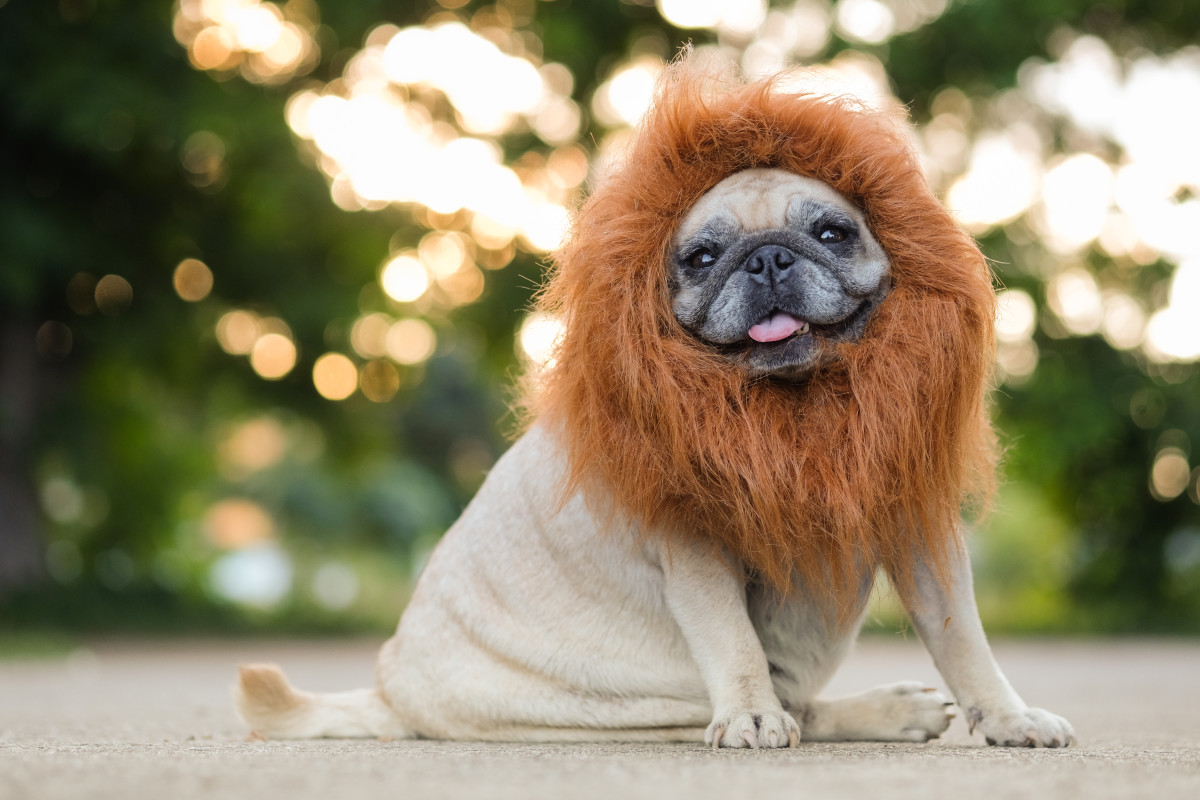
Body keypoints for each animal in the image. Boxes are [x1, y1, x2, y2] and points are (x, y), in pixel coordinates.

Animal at [231, 61, 1070, 753]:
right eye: (700, 258)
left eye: (833, 232)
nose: (768, 257)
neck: (791, 408)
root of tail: (389, 693)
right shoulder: (697, 545)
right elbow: (734, 644)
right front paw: (752, 716)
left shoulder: (917, 524)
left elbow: (963, 637)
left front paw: (1008, 716)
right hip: (632, 702)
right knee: (784, 705)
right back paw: (859, 712)